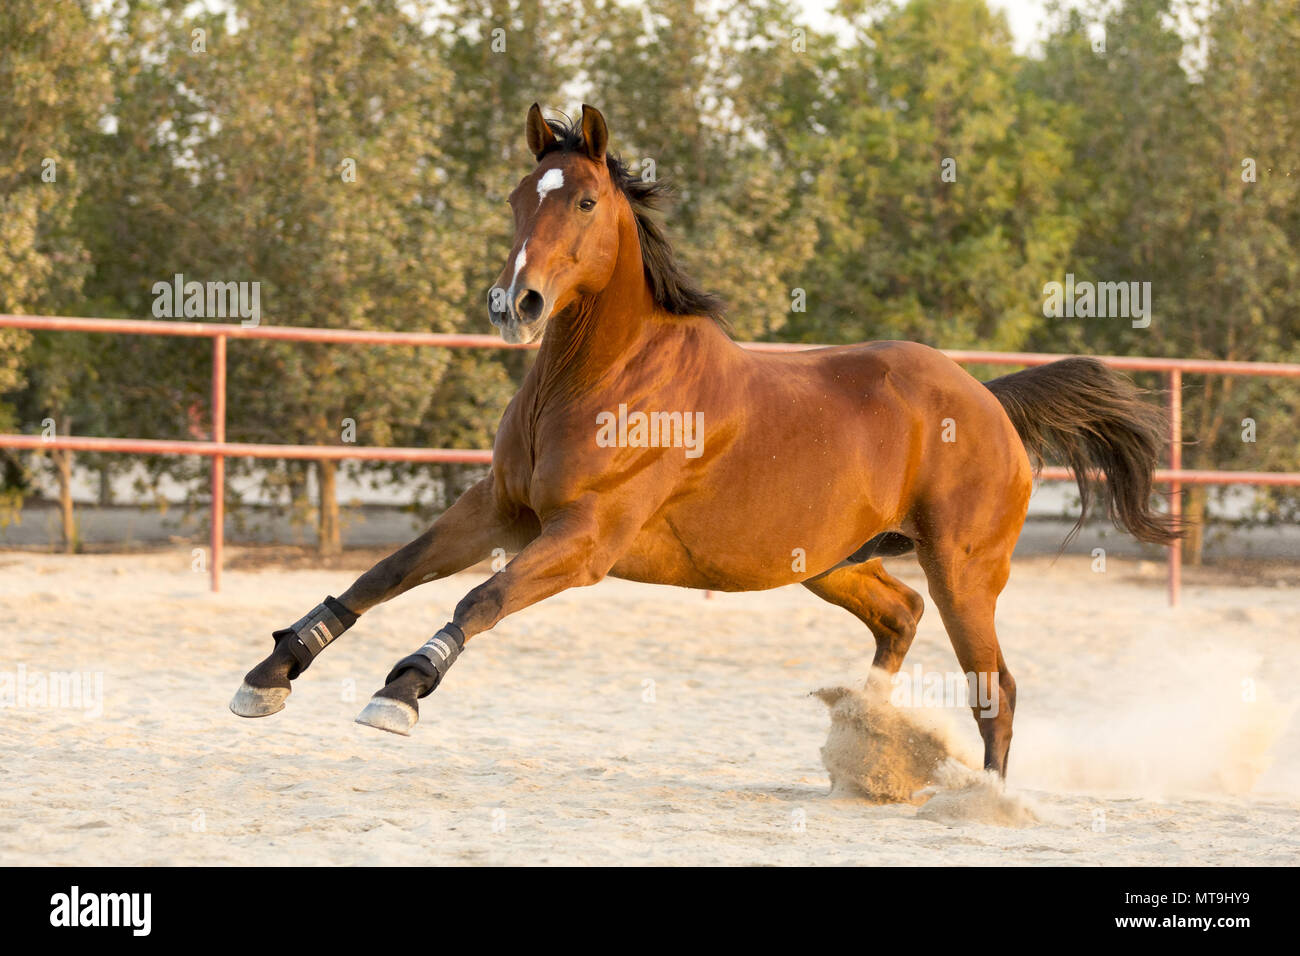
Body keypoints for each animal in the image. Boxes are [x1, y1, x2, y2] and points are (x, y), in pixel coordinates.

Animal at [231, 104, 1180, 780]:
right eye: (516, 197)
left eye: (584, 199)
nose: (516, 305)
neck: (600, 381)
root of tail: (986, 399)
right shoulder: (500, 508)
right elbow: (385, 573)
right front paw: (272, 672)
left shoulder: (584, 540)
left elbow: (478, 601)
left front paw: (402, 691)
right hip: (831, 561)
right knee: (901, 618)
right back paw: (867, 739)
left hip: (963, 567)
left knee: (995, 686)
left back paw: (981, 796)